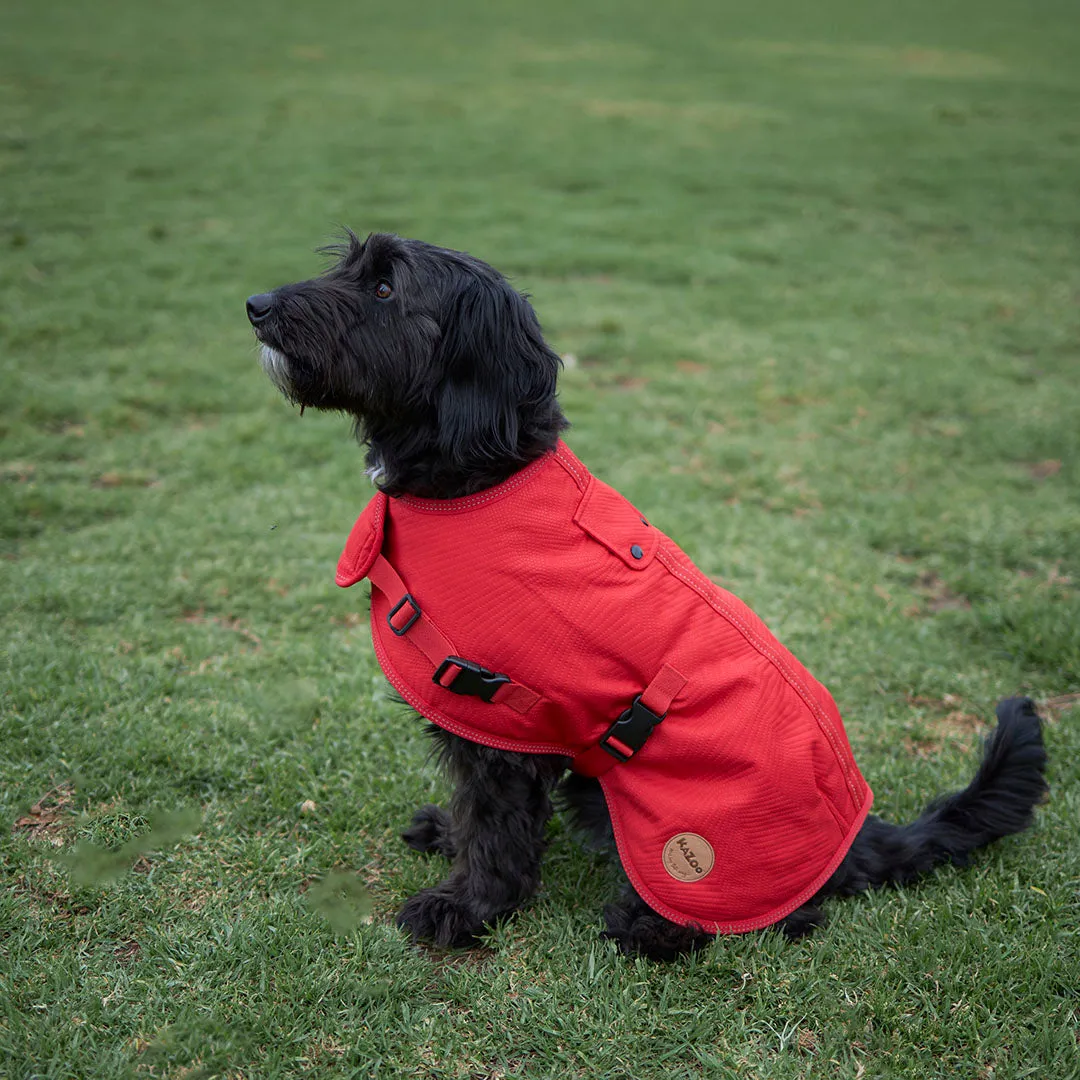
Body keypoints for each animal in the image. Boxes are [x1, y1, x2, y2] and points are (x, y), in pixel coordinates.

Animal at [245, 232, 1045, 959]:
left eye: (384, 289)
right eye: (348, 265)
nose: (256, 305)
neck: (483, 477)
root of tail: (856, 842)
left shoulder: (494, 719)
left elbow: (496, 830)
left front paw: (464, 907)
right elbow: (483, 815)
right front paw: (450, 835)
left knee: (779, 918)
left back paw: (651, 926)